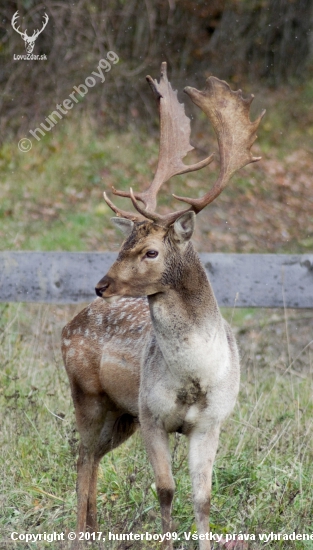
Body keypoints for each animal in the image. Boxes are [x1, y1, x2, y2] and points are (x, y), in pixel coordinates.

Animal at [61, 62, 264, 548]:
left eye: (150, 251)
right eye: (122, 244)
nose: (102, 285)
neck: (195, 376)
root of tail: (68, 326)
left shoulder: (210, 422)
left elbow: (203, 498)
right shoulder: (153, 415)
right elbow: (166, 490)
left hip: (122, 414)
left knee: (94, 456)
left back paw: (93, 528)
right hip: (88, 394)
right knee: (81, 456)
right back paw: (79, 532)